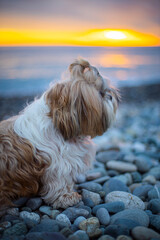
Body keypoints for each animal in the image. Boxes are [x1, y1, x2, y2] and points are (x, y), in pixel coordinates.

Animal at [0, 58, 119, 208]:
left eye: (105, 90)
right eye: (99, 94)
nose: (110, 96)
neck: (58, 124)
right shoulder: (58, 166)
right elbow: (59, 182)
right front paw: (66, 197)